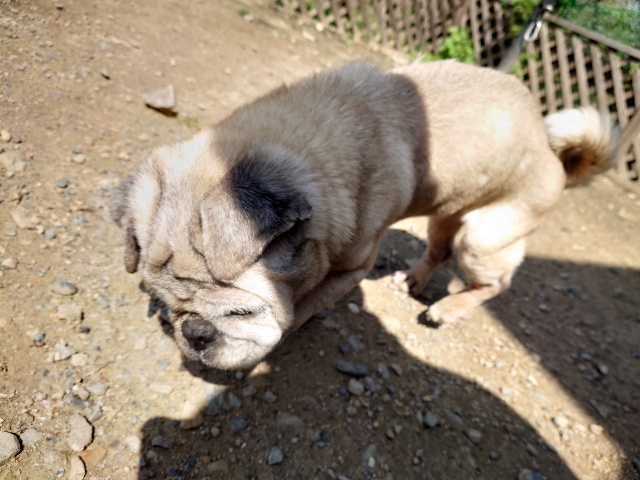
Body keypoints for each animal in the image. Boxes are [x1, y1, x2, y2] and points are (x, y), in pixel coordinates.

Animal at [110, 60, 617, 370]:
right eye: (167, 306)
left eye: (242, 311)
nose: (194, 333)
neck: (319, 151)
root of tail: (554, 156)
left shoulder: (350, 270)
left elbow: (300, 310)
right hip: (446, 214)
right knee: (438, 249)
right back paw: (414, 281)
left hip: (483, 236)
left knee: (496, 282)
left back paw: (446, 309)